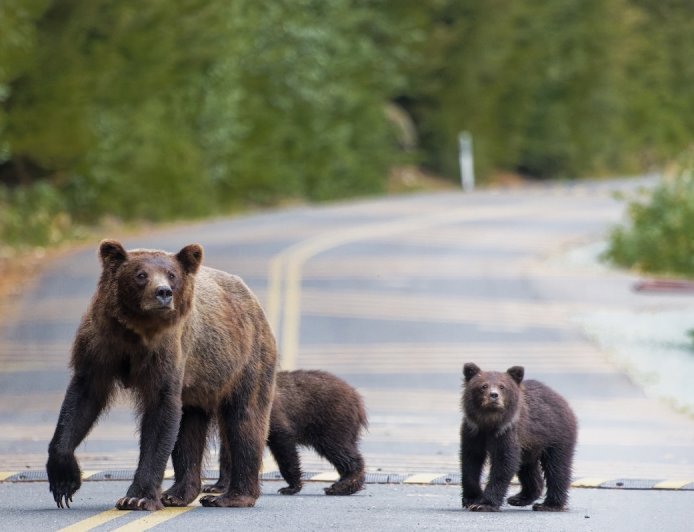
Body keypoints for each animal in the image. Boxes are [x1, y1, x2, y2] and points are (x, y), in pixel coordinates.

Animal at [46, 240, 277, 511]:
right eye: (141, 275)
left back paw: (231, 496)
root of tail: (252, 300)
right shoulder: (99, 346)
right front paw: (64, 482)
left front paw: (137, 497)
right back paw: (177, 493)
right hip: (199, 385)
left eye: (171, 275)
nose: (163, 292)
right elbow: (81, 401)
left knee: (244, 420)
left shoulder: (168, 352)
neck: (136, 331)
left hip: (243, 361)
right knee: (189, 429)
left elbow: (160, 415)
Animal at [203, 369, 368, 496]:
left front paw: (291, 486)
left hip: (331, 422)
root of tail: (357, 399)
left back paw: (341, 486)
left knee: (339, 450)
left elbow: (283, 445)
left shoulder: (269, 417)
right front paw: (215, 486)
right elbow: (229, 452)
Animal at [460, 363, 577, 512]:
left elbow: (504, 463)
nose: (494, 395)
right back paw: (519, 498)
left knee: (557, 467)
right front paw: (472, 498)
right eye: (483, 386)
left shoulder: (507, 433)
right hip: (530, 446)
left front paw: (485, 503)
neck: (489, 423)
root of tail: (561, 398)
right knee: (527, 468)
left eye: (502, 386)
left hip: (556, 436)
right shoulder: (473, 432)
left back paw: (549, 504)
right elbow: (470, 461)